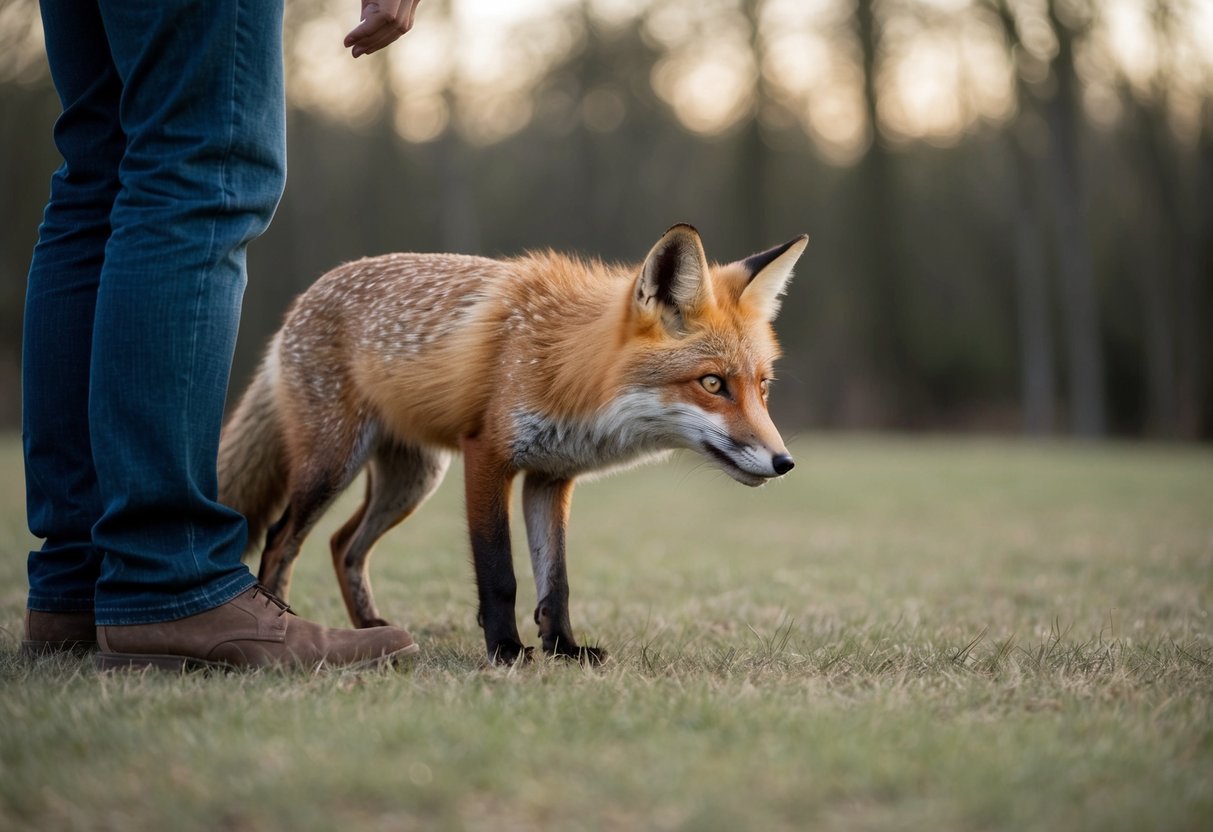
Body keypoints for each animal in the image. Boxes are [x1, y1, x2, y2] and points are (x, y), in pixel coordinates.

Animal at [218, 224, 807, 665]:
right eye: (712, 383)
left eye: (762, 387)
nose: (784, 462)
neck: (568, 367)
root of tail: (302, 302)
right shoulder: (487, 456)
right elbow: (499, 573)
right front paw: (505, 650)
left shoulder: (551, 476)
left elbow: (556, 579)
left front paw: (563, 649)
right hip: (332, 466)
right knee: (280, 540)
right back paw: (287, 628)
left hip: (411, 481)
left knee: (344, 544)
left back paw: (371, 629)